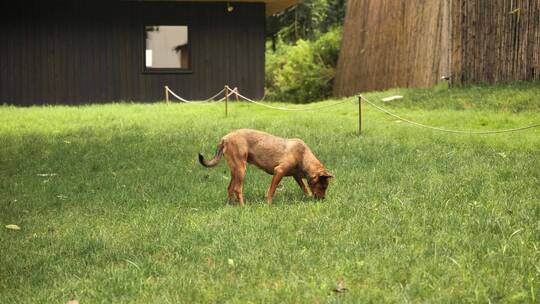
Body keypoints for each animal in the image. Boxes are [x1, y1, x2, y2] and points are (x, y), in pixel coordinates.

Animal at [199, 129, 334, 207]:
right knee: (237, 189)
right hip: (241, 169)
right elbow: (272, 190)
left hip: (235, 171)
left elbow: (304, 188)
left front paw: (308, 197)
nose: (323, 200)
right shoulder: (279, 171)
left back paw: (230, 204)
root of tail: (225, 138)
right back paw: (243, 206)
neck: (303, 155)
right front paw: (268, 204)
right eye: (323, 187)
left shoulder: (296, 176)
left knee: (230, 188)